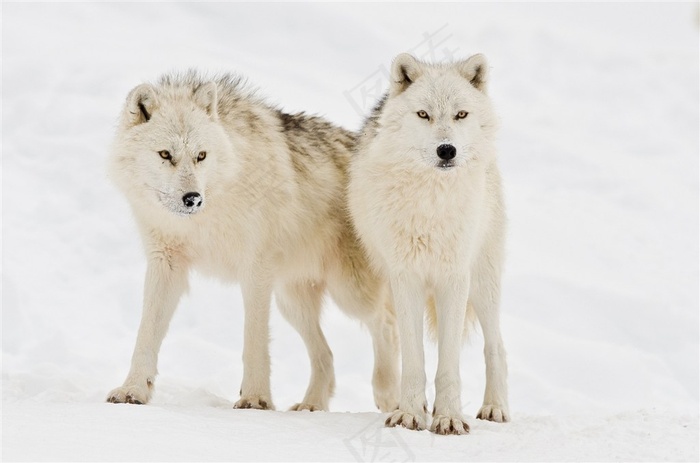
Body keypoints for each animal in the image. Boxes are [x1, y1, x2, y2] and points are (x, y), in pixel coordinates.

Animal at [106, 71, 396, 414]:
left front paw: (256, 399)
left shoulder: (256, 270)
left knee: (386, 322)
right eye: (165, 155)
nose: (193, 199)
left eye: (201, 156)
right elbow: (146, 334)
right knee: (326, 355)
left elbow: (254, 340)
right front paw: (133, 390)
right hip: (291, 301)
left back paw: (387, 395)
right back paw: (311, 406)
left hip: (350, 291)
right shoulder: (165, 264)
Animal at [348, 53, 508, 436]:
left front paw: (448, 417)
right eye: (423, 114)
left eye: (461, 115)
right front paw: (409, 414)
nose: (446, 150)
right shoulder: (405, 277)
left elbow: (449, 362)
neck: (432, 202)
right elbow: (413, 358)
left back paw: (495, 408)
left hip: (484, 284)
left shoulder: (455, 277)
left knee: (496, 346)